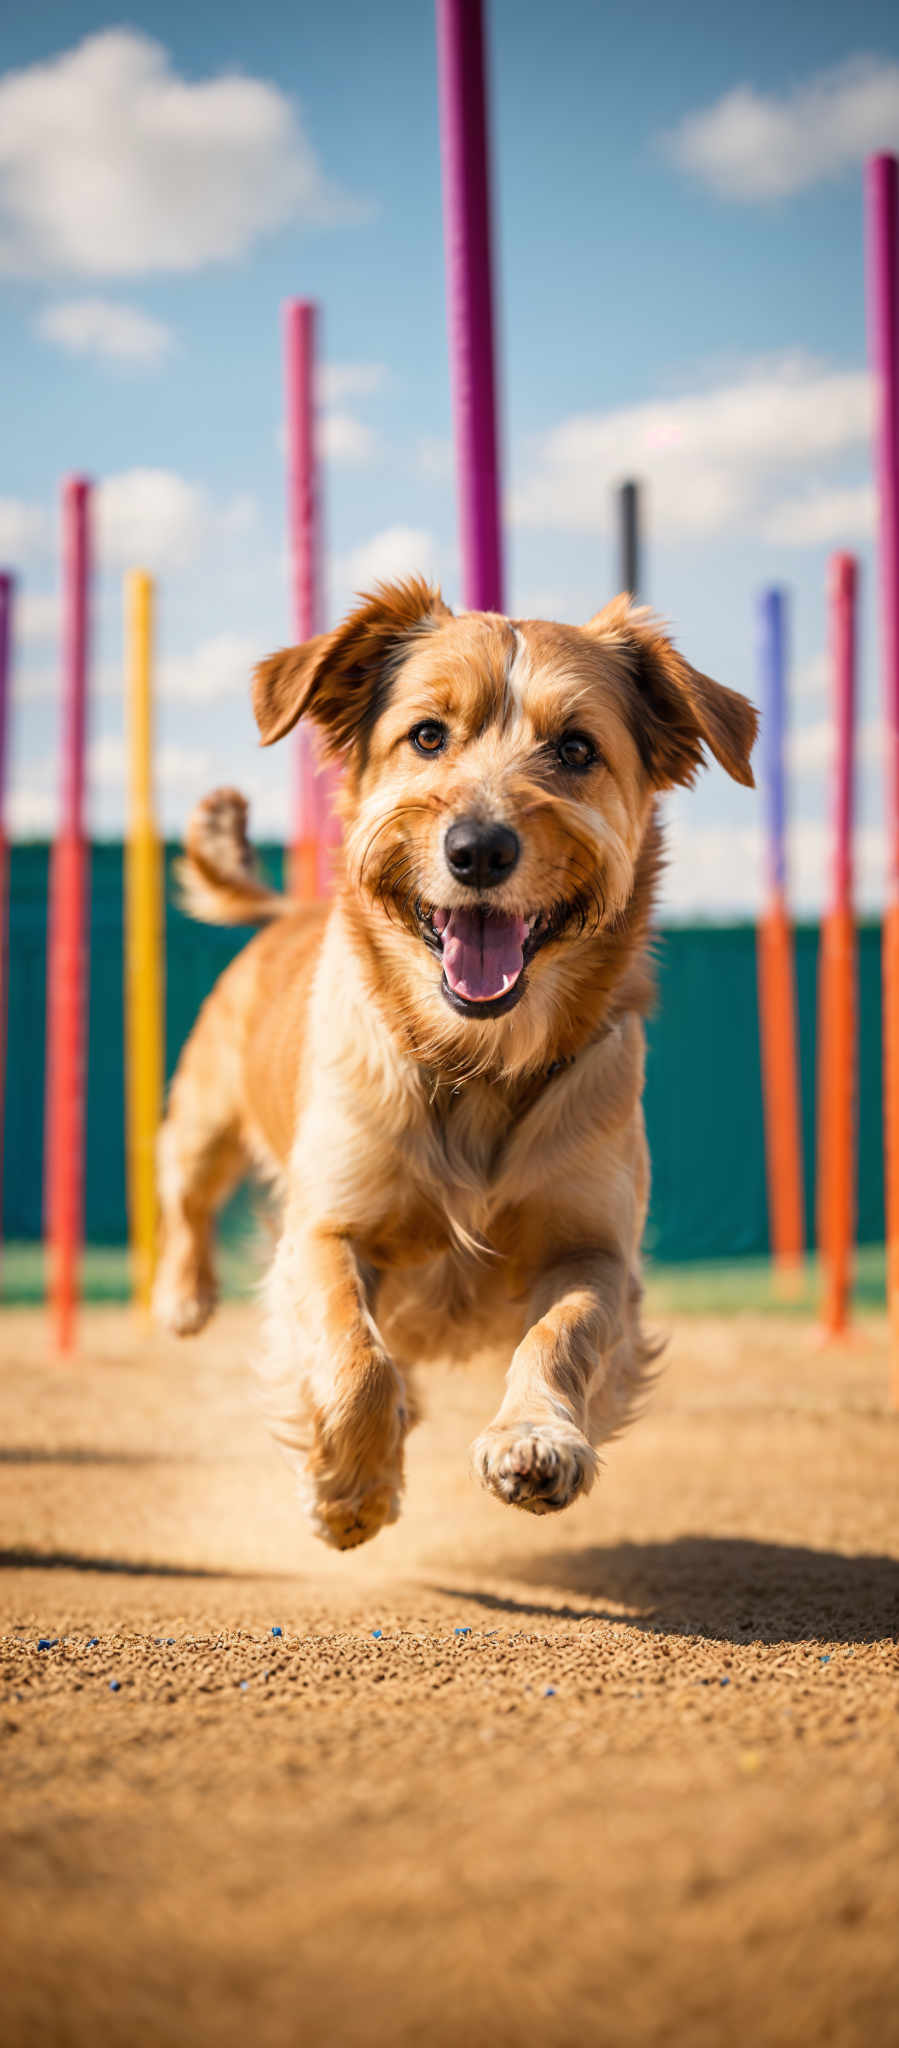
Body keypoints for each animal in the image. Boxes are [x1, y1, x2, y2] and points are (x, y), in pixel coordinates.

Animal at [154, 573, 761, 1540]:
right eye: (427, 736)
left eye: (576, 748)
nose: (478, 849)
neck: (476, 1062)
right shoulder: (325, 1227)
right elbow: (354, 1355)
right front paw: (350, 1489)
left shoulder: (594, 1248)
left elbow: (561, 1335)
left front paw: (536, 1440)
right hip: (204, 1117)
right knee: (184, 1194)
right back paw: (183, 1297)